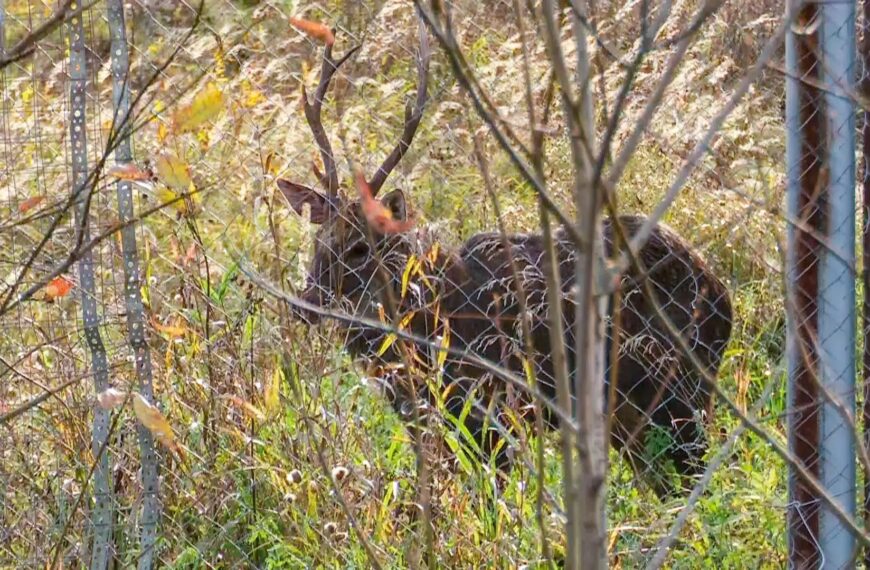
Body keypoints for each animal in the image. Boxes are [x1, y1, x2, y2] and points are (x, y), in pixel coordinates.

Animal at [277, 25, 733, 498]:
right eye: (318, 240)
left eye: (360, 247)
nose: (304, 303)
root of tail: (722, 298)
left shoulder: (489, 412)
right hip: (633, 419)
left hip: (681, 393)